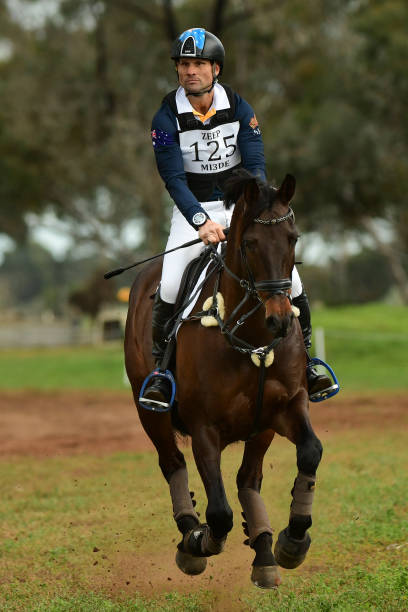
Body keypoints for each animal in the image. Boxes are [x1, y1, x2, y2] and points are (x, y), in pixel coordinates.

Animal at [124, 171, 322, 588]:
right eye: (249, 243)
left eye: (293, 238)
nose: (281, 320)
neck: (252, 335)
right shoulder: (204, 429)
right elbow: (218, 512)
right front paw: (199, 543)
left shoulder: (287, 407)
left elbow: (311, 452)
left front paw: (293, 541)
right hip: (150, 413)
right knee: (172, 463)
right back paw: (189, 536)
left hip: (261, 428)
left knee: (249, 478)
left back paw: (264, 552)